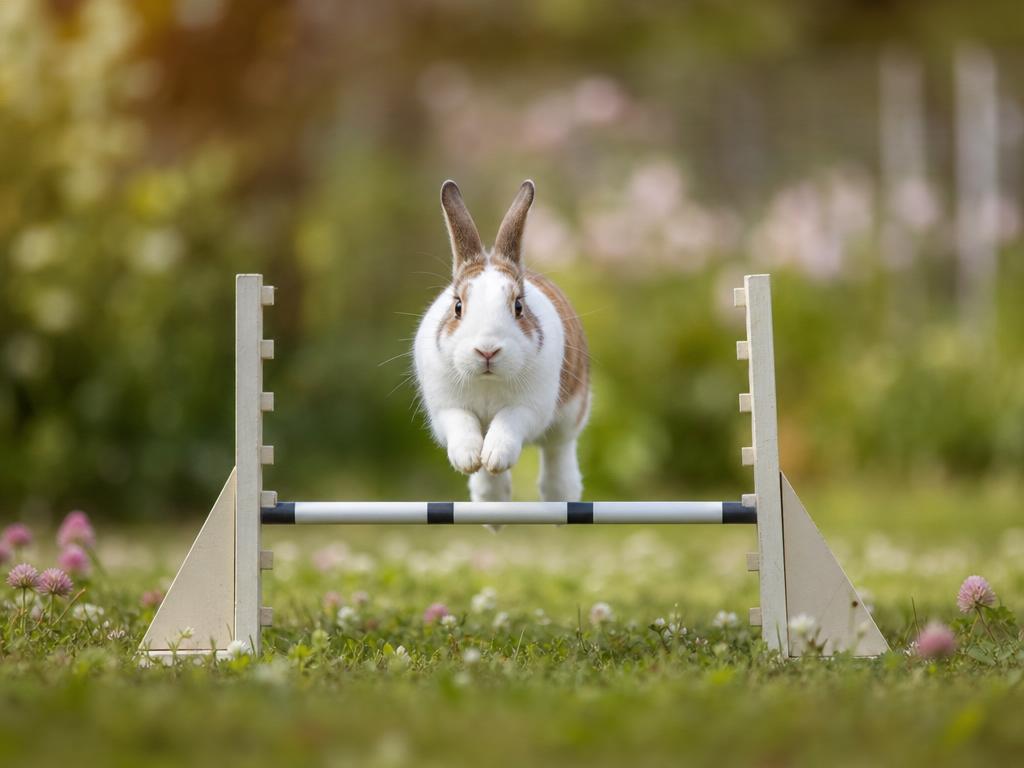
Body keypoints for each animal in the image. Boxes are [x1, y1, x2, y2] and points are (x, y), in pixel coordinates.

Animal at [413, 180, 590, 506]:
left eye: (518, 306)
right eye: (458, 306)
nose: (487, 350)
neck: (487, 381)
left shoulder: (531, 408)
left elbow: (509, 421)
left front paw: (495, 456)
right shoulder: (445, 408)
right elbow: (461, 424)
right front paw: (469, 459)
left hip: (569, 417)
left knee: (558, 457)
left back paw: (558, 494)